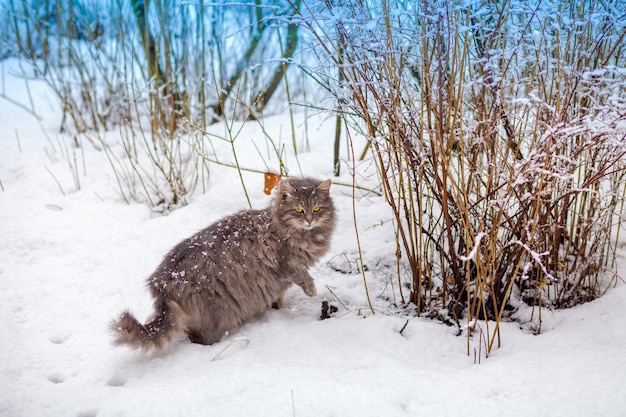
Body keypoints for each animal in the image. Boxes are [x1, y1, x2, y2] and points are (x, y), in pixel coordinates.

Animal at [109, 176, 334, 348]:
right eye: (298, 210)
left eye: (316, 208)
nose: (309, 220)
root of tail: (162, 282)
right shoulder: (285, 263)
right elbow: (301, 274)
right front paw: (311, 290)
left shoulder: (278, 284)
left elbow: (278, 299)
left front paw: (280, 310)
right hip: (215, 310)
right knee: (198, 335)